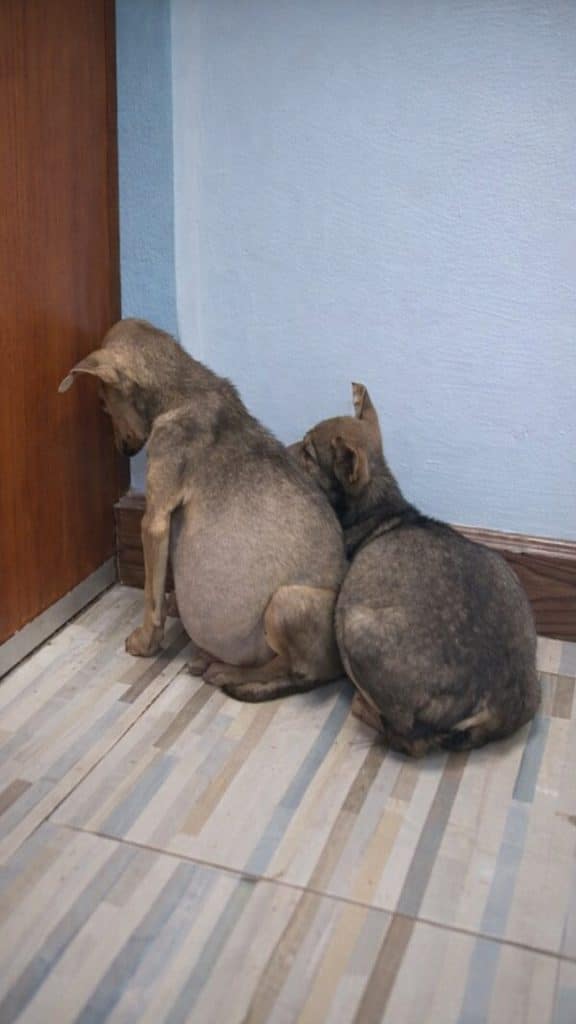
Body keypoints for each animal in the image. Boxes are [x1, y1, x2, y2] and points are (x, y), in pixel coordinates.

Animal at [59, 319, 346, 698]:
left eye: (104, 403)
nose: (124, 449)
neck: (183, 390)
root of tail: (339, 669)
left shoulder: (155, 519)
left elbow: (150, 598)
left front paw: (144, 642)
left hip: (286, 601)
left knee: (290, 670)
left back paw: (224, 670)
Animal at [291, 383, 541, 756]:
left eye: (308, 453)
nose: (280, 450)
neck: (379, 506)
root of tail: (491, 706)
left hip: (352, 624)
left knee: (403, 735)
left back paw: (363, 707)